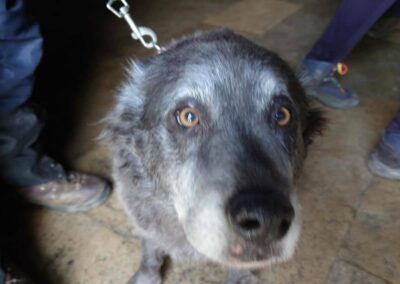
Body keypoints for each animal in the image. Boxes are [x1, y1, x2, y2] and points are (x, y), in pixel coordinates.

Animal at [101, 29, 324, 284]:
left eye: (283, 115)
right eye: (188, 116)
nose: (267, 218)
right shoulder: (144, 222)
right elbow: (150, 250)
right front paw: (147, 276)